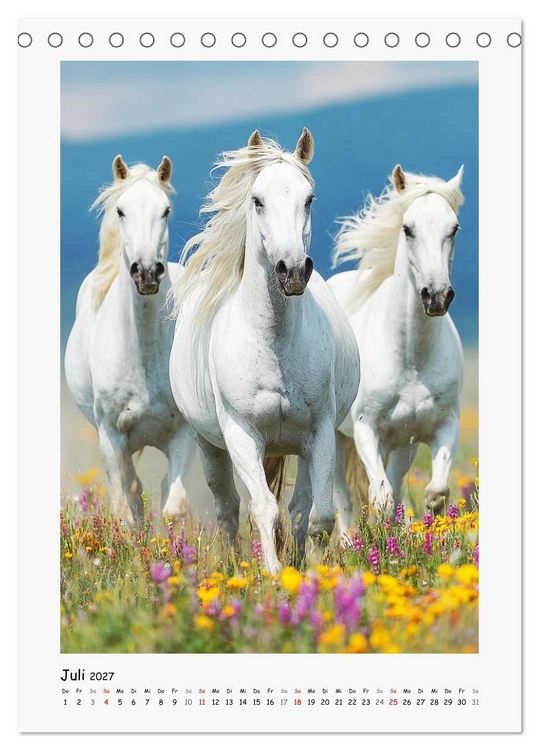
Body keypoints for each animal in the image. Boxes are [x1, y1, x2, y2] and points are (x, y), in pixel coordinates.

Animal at [64, 155, 194, 524]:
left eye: (165, 210)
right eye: (121, 211)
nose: (147, 272)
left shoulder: (181, 435)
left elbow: (174, 507)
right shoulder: (111, 438)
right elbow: (125, 510)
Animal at [168, 129, 360, 573]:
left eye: (309, 198)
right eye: (257, 200)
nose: (293, 270)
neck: (273, 344)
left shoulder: (319, 433)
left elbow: (317, 515)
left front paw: (310, 573)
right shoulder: (242, 435)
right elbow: (262, 509)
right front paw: (272, 575)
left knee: (300, 507)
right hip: (209, 446)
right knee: (228, 508)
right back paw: (235, 565)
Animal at [327, 164, 464, 535]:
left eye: (454, 228)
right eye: (408, 228)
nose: (436, 296)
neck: (411, 358)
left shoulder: (442, 425)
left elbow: (435, 493)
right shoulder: (365, 429)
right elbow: (381, 500)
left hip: (403, 445)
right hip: (336, 437)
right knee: (343, 497)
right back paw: (348, 542)